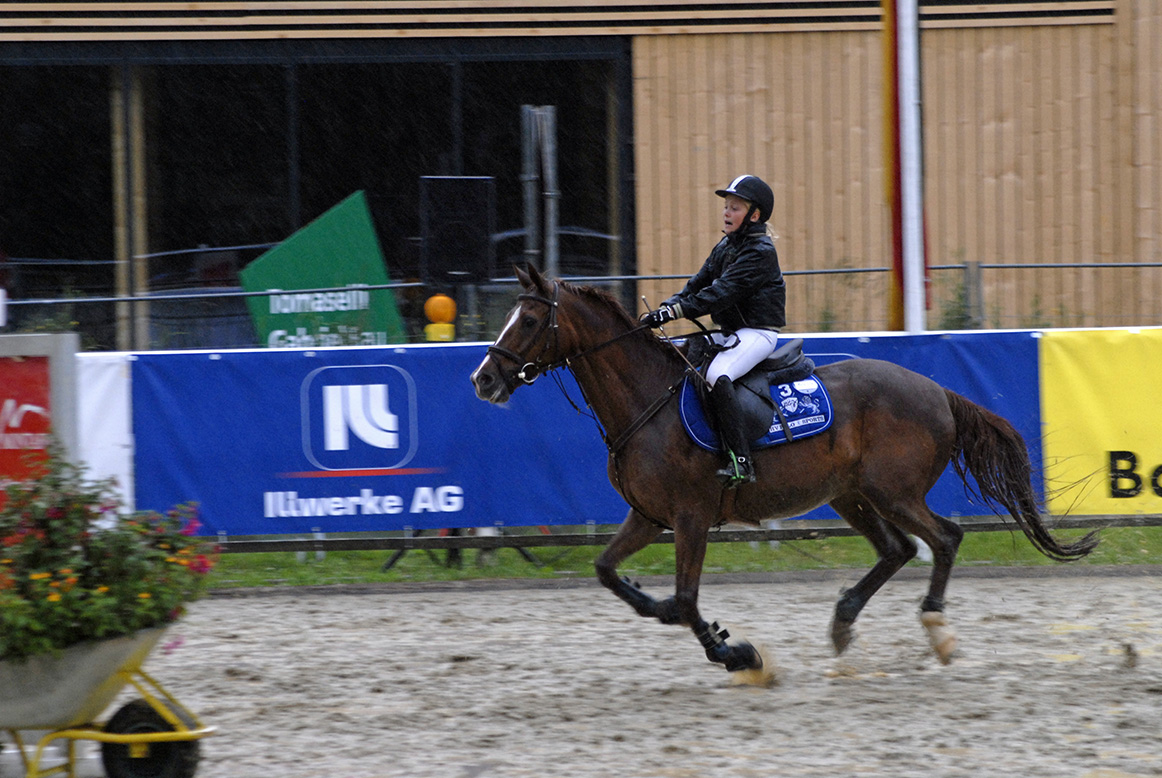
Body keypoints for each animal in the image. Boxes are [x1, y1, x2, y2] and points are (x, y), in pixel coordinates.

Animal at [470, 265, 1097, 679]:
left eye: (529, 319)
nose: (483, 379)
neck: (647, 400)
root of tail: (937, 390)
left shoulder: (691, 516)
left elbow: (688, 598)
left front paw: (735, 654)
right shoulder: (648, 515)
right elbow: (609, 572)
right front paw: (673, 614)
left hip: (892, 491)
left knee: (943, 538)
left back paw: (937, 631)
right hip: (851, 495)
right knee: (896, 549)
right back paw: (843, 622)